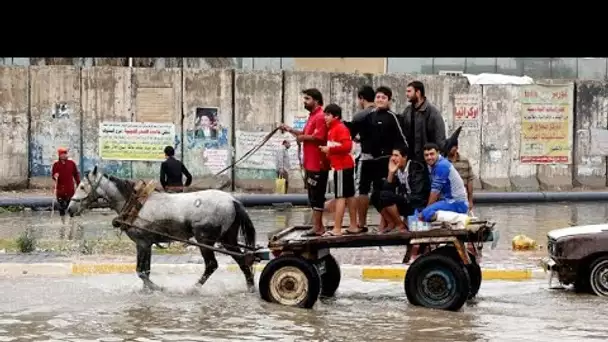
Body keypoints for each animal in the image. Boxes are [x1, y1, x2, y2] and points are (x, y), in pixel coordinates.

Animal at [66, 166, 256, 292]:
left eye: (82, 186)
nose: (69, 209)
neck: (136, 204)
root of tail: (233, 200)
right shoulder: (146, 244)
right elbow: (146, 271)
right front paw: (146, 291)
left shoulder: (142, 243)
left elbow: (141, 272)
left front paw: (157, 288)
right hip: (227, 239)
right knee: (243, 260)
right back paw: (251, 287)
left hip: (205, 240)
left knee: (211, 265)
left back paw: (193, 288)